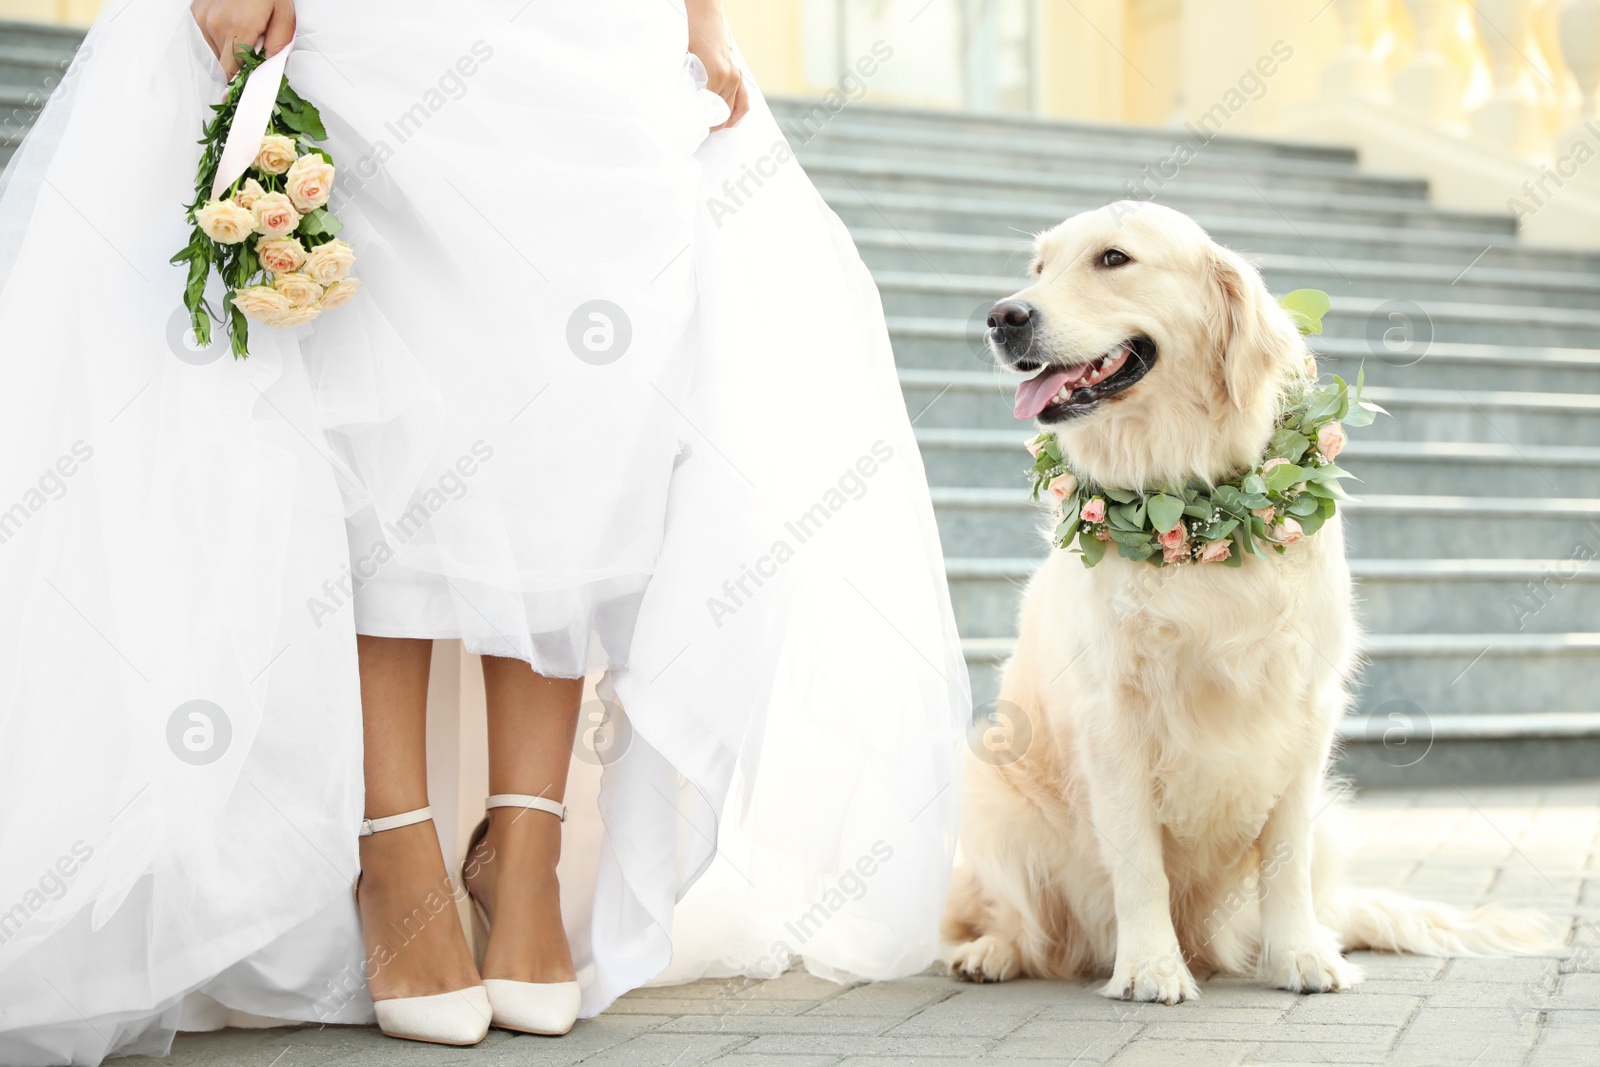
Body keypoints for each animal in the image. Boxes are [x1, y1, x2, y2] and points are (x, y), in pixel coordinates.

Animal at [940, 199, 1542, 1004]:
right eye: (1039, 267)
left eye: (1113, 259)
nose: (1003, 317)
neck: (1194, 505)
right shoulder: (1112, 713)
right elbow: (1137, 859)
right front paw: (1150, 967)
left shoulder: (1304, 711)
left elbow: (1284, 857)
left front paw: (1302, 957)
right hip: (992, 795)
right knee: (1022, 925)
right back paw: (995, 951)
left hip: (1332, 822)